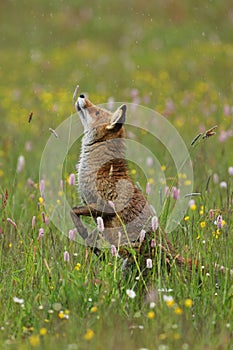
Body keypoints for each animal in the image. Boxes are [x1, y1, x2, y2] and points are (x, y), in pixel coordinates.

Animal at [70, 93, 231, 276]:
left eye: (96, 112)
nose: (82, 95)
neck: (101, 169)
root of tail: (173, 254)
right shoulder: (98, 213)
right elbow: (85, 223)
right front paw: (94, 247)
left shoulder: (105, 207)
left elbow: (74, 212)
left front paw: (86, 237)